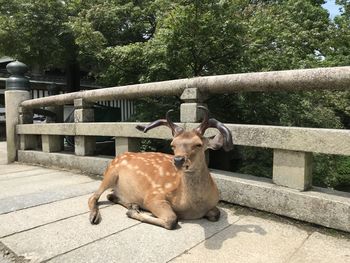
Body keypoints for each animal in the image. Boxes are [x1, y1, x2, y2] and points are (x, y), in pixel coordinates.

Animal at [89, 106, 234, 230]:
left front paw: (133, 209)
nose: (178, 160)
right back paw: (95, 216)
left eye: (198, 144)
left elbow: (216, 214)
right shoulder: (154, 195)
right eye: (173, 144)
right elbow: (172, 219)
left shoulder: (214, 204)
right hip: (110, 174)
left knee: (110, 195)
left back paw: (132, 204)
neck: (192, 206)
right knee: (93, 197)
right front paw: (132, 213)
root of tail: (117, 156)